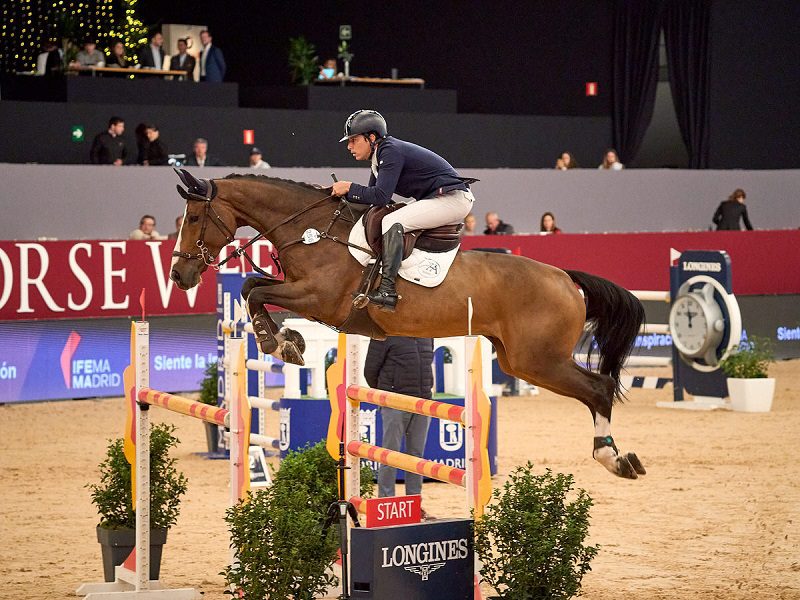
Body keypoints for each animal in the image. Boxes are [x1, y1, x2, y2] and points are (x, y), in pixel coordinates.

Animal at [169, 170, 647, 480]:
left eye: (192, 219)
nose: (179, 276)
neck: (313, 230)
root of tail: (565, 278)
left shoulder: (319, 299)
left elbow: (254, 291)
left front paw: (281, 342)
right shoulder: (304, 294)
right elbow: (253, 285)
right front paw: (288, 339)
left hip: (539, 360)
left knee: (599, 388)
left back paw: (615, 460)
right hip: (519, 361)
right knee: (592, 388)